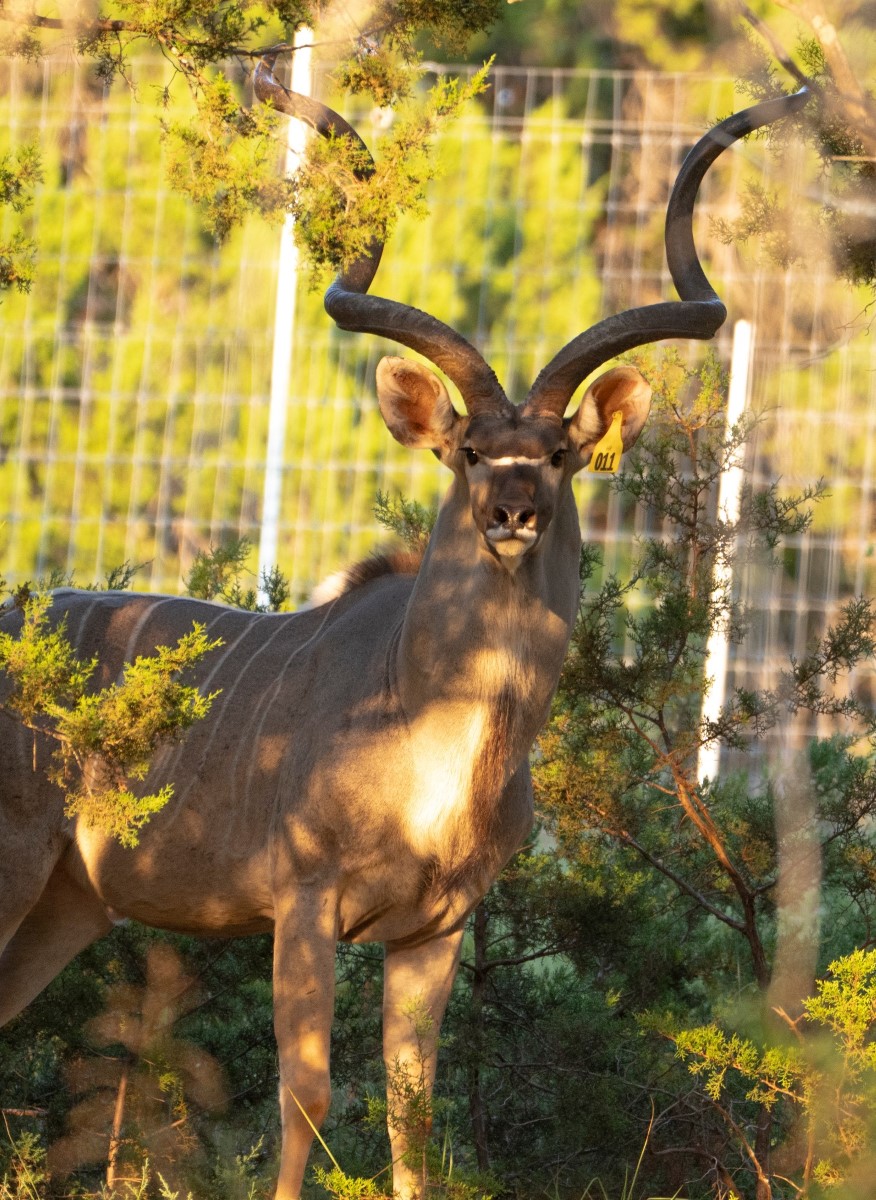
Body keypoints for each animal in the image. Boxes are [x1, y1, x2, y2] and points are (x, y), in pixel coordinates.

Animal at [0, 59, 808, 1199]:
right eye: (468, 449)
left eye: (558, 453)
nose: (511, 513)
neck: (428, 731)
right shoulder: (304, 902)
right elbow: (305, 1093)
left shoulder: (433, 931)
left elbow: (412, 1112)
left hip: (65, 904)